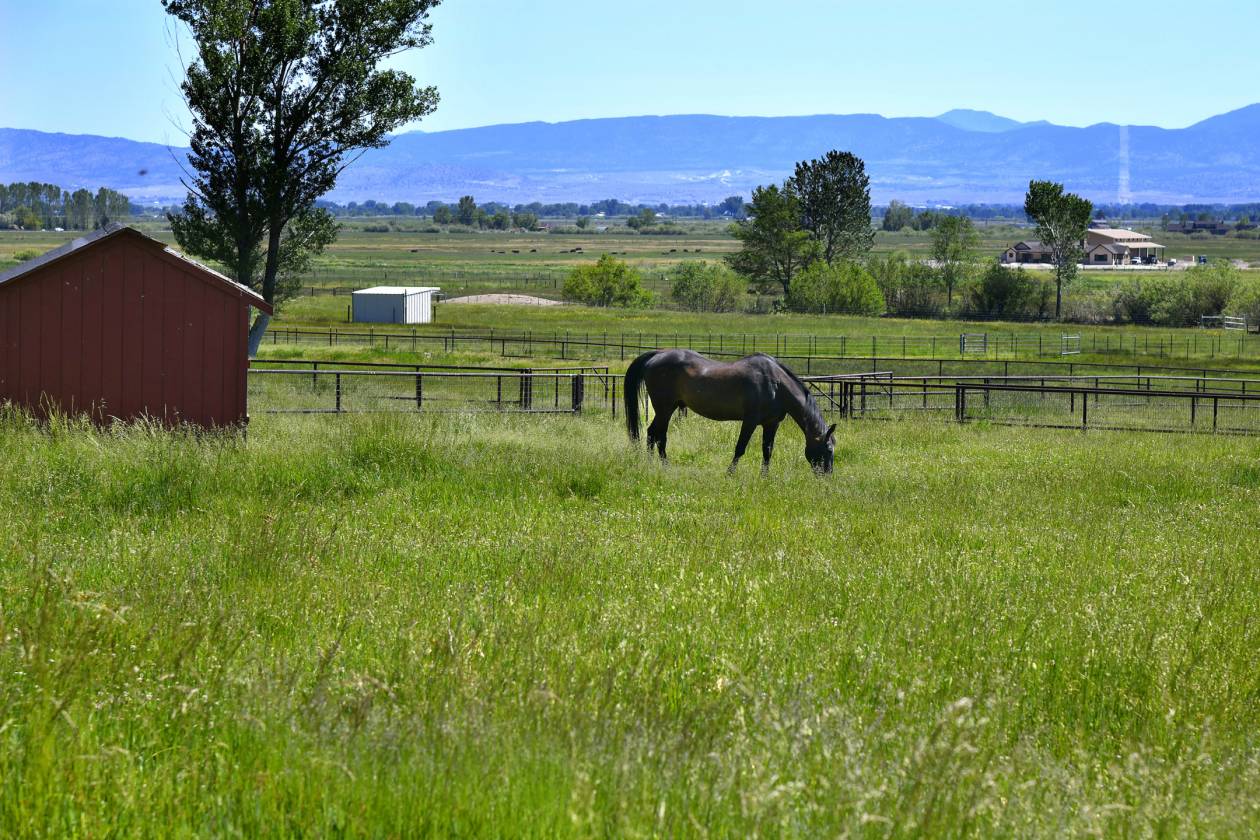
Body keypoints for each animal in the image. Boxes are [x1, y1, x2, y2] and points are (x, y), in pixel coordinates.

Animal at [623, 349, 836, 474]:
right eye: (828, 449)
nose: (827, 476)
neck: (776, 384)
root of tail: (656, 356)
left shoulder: (772, 423)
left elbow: (767, 451)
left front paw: (765, 477)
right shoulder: (750, 421)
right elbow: (740, 448)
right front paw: (730, 474)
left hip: (668, 408)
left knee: (656, 435)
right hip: (664, 409)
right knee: (655, 434)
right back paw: (658, 466)